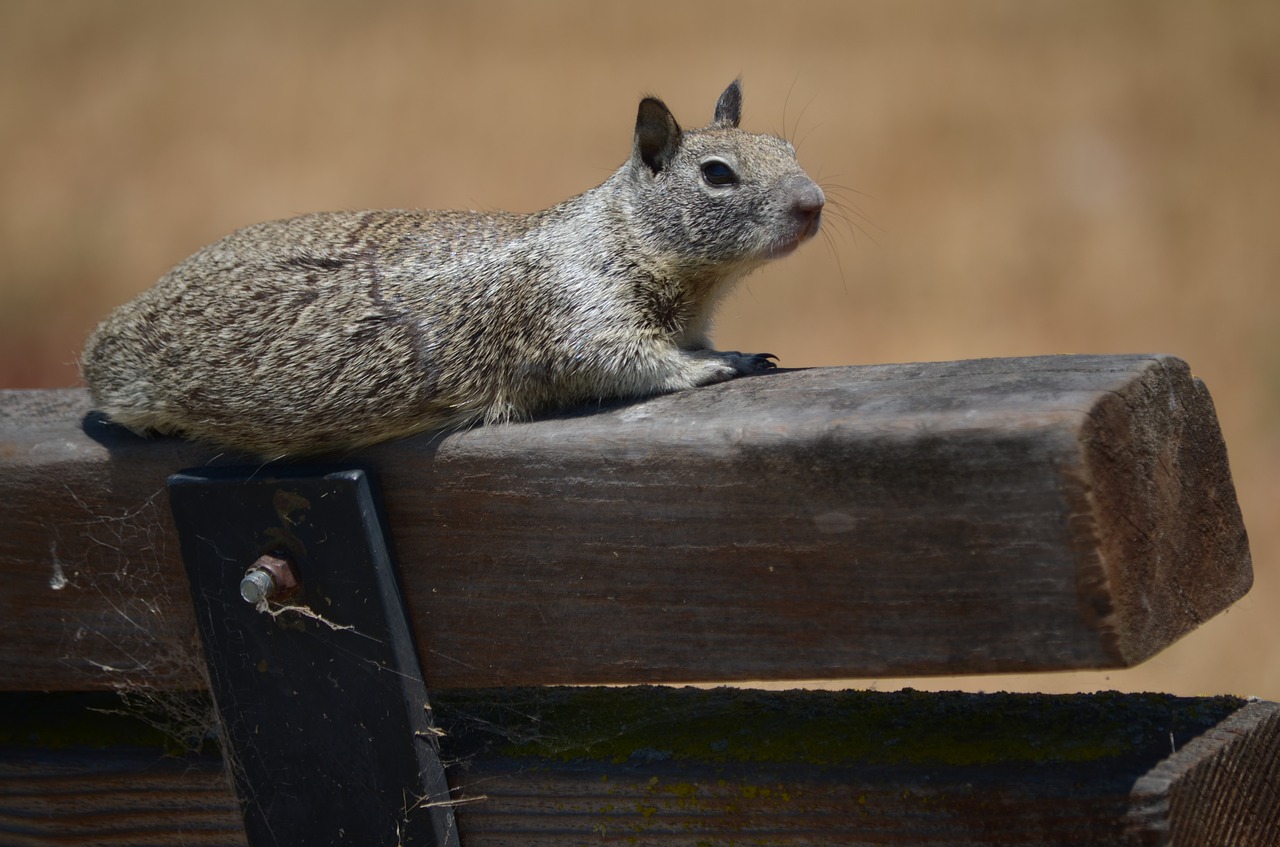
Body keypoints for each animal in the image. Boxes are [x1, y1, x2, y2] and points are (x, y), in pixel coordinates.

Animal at [82, 81, 819, 458]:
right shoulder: (574, 313)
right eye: (717, 174)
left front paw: (732, 352)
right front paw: (709, 367)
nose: (813, 203)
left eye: (788, 147)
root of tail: (110, 329)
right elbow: (624, 361)